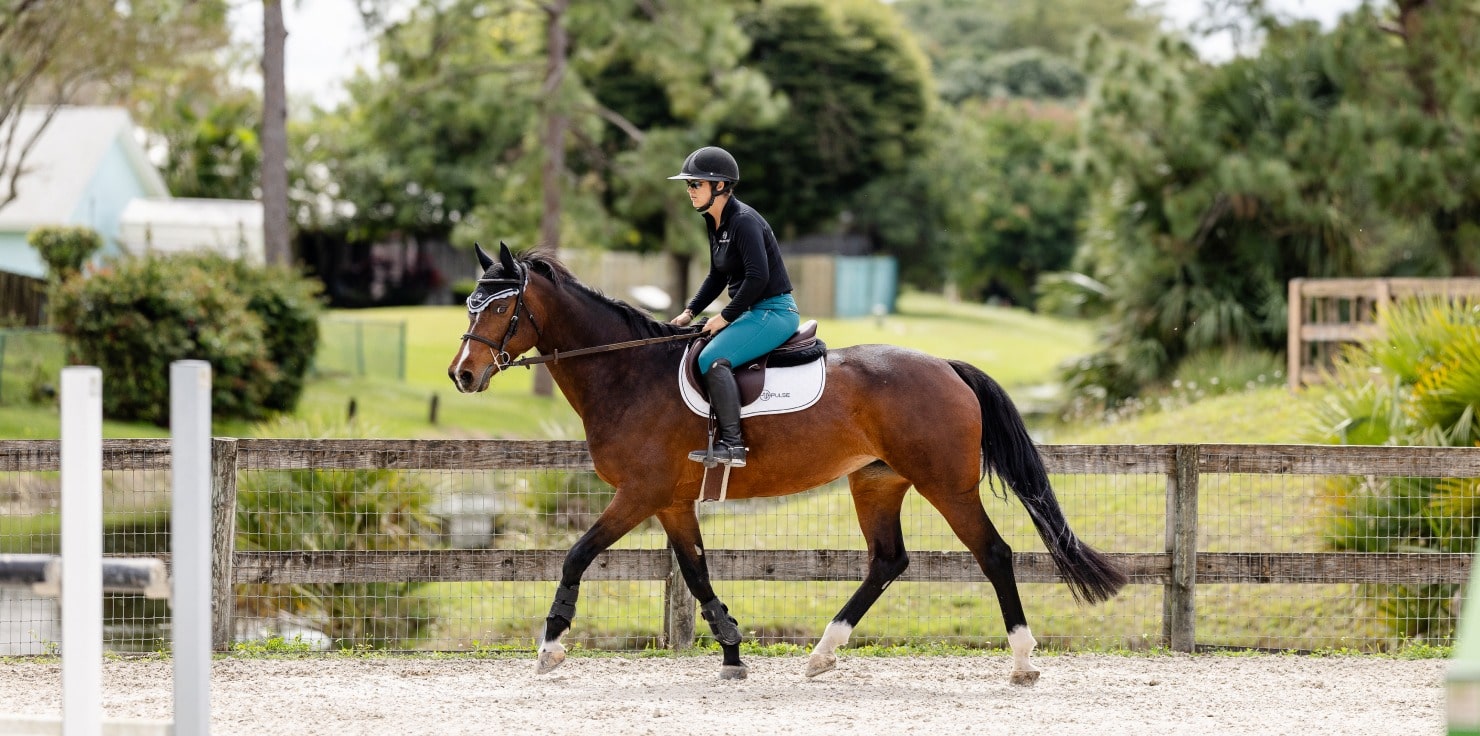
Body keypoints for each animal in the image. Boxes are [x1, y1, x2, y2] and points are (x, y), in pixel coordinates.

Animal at [448, 243, 1126, 685]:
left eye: (500, 309)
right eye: (470, 306)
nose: (462, 375)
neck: (627, 372)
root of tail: (947, 367)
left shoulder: (638, 495)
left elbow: (576, 555)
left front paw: (551, 646)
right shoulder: (671, 501)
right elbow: (696, 574)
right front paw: (731, 652)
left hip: (946, 485)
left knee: (994, 554)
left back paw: (1023, 660)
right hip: (876, 483)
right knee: (888, 561)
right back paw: (824, 653)